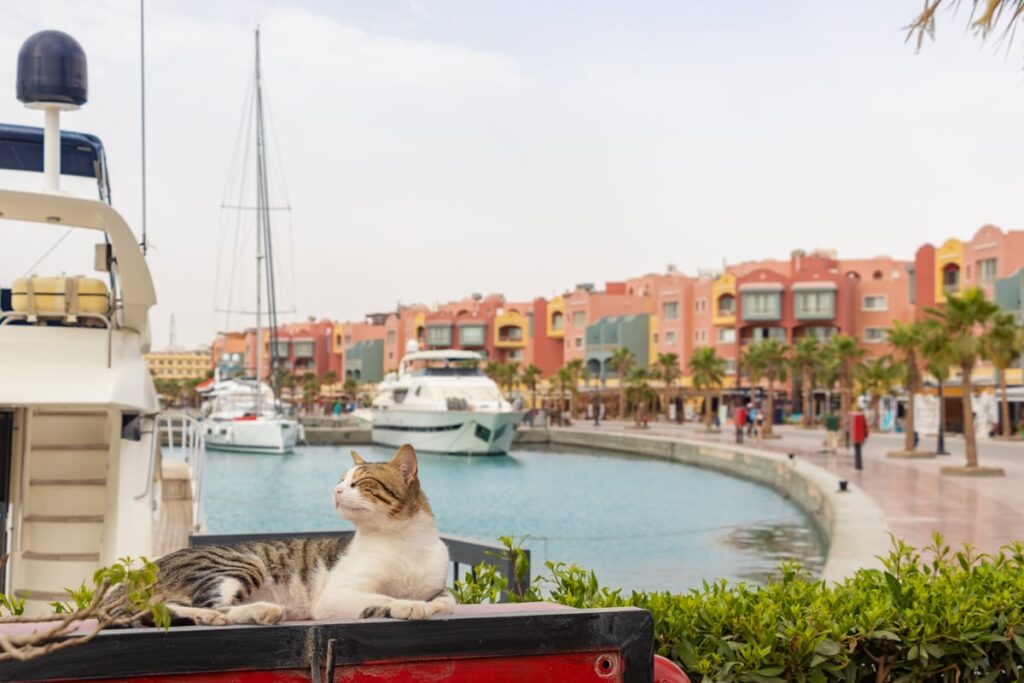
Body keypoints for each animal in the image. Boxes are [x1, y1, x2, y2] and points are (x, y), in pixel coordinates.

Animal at [151, 444, 456, 626]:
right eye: (342, 480)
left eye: (362, 482)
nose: (336, 490)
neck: (404, 541)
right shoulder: (335, 597)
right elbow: (384, 599)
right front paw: (410, 605)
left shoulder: (436, 586)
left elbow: (448, 600)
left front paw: (434, 605)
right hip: (243, 564)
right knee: (213, 607)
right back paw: (257, 611)